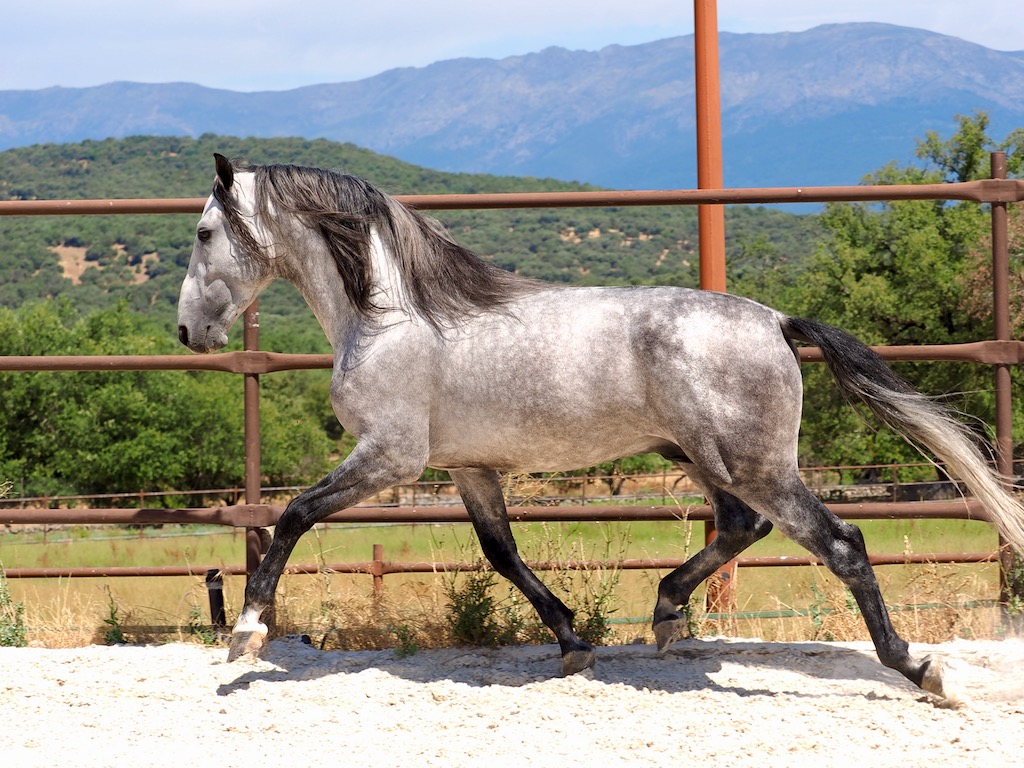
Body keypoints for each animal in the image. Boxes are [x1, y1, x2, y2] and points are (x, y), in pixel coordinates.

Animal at [177, 154, 1024, 701]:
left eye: (204, 233)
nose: (189, 331)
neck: (389, 317)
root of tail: (776, 321)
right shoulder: (467, 467)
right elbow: (502, 554)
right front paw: (574, 643)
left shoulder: (391, 458)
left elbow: (293, 515)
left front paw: (246, 631)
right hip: (707, 458)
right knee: (741, 527)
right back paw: (666, 612)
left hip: (754, 464)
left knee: (839, 544)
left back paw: (920, 670)